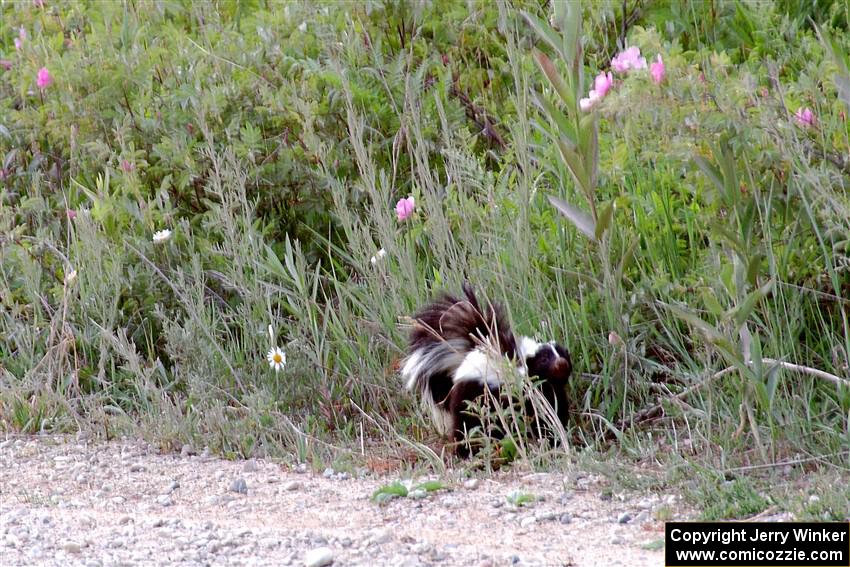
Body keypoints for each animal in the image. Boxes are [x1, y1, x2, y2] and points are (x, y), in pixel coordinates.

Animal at [402, 284, 572, 458]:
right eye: (544, 360)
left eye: (564, 355)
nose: (561, 364)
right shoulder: (517, 394)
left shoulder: (552, 393)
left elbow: (554, 413)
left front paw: (556, 437)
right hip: (469, 399)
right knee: (465, 425)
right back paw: (464, 451)